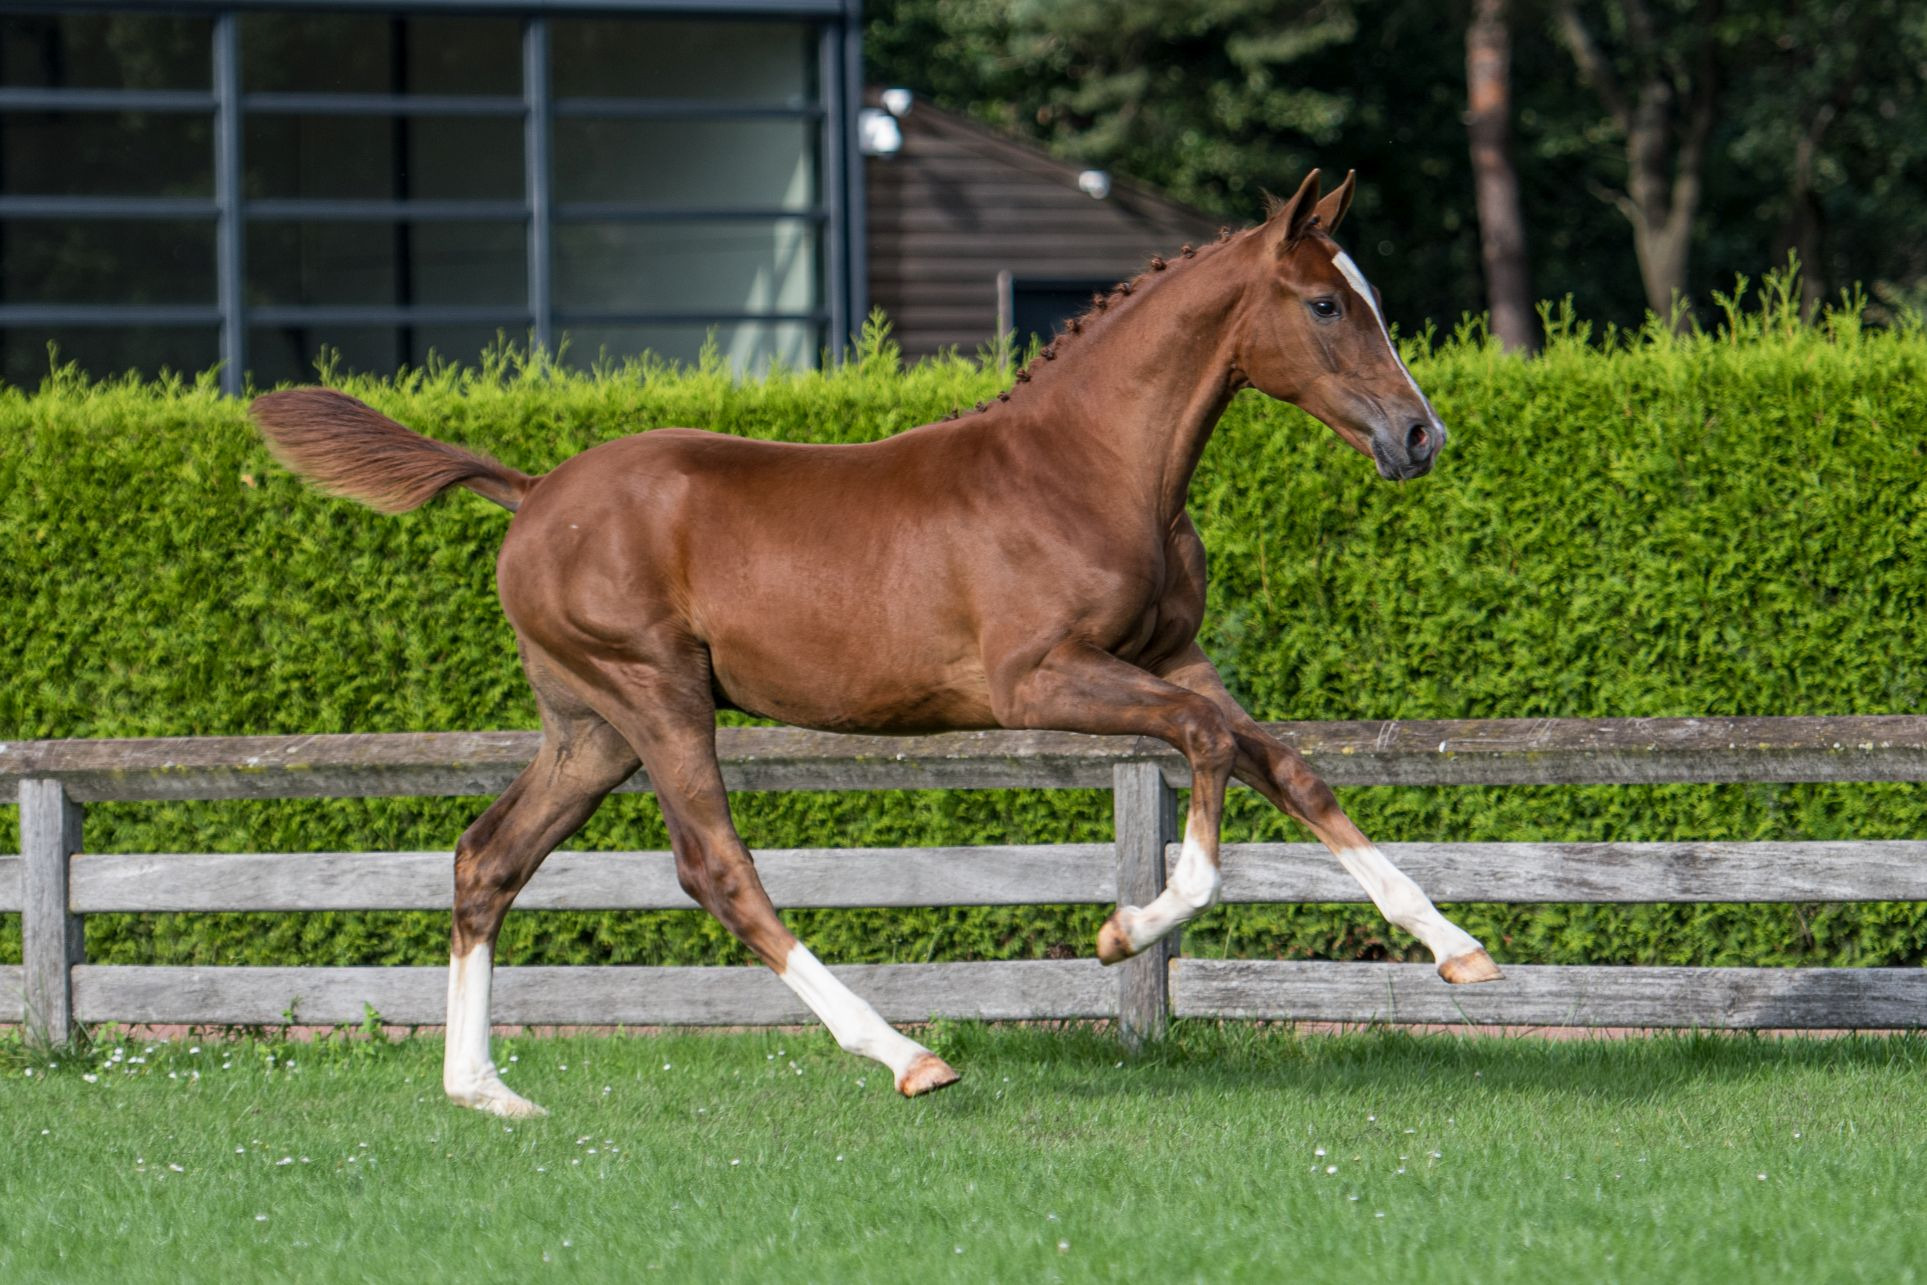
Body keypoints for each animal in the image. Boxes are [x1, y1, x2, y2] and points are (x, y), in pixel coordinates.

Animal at [251, 169, 1500, 1119]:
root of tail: (528, 492)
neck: (1088, 468)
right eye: (1326, 305)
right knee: (715, 869)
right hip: (655, 697)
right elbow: (1203, 748)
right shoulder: (1039, 680)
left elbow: (1281, 760)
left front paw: (1457, 947)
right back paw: (906, 1055)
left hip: (589, 728)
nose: (1420, 434)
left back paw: (485, 1089)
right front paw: (1121, 929)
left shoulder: (1171, 655)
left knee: (487, 857)